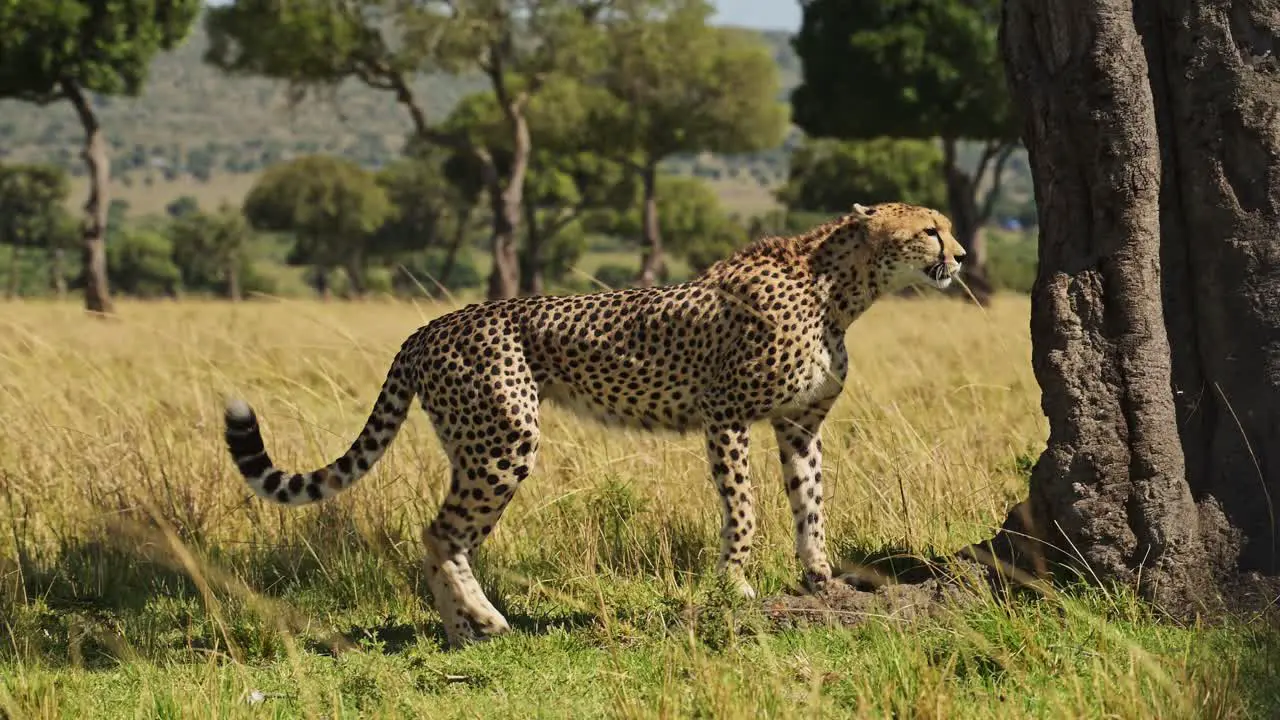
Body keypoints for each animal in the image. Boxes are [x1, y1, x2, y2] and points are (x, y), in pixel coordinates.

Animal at [227, 199, 967, 645]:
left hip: (480, 444)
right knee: (439, 533)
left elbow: (810, 503)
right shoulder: (725, 413)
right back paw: (485, 620)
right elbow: (744, 507)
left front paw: (821, 580)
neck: (838, 289)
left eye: (948, 225)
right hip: (504, 440)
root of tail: (430, 325)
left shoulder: (799, 425)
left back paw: (461, 632)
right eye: (928, 229)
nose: (959, 257)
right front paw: (736, 583)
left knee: (445, 537)